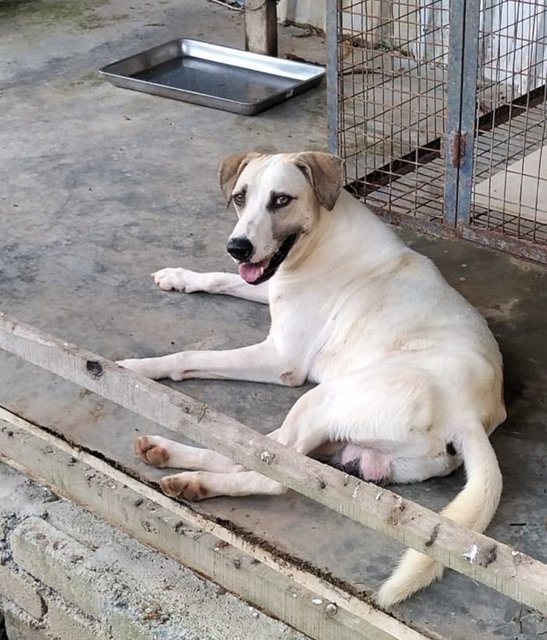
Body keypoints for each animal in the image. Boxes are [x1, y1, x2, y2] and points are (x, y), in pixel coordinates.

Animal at [119, 152, 506, 608]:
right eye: (240, 197)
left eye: (281, 199)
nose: (237, 247)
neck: (321, 237)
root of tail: (469, 417)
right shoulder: (265, 281)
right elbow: (221, 278)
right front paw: (179, 277)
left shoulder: (280, 360)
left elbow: (190, 355)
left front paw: (138, 367)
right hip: (332, 432)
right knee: (250, 452)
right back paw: (165, 452)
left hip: (319, 401)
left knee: (269, 475)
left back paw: (194, 482)